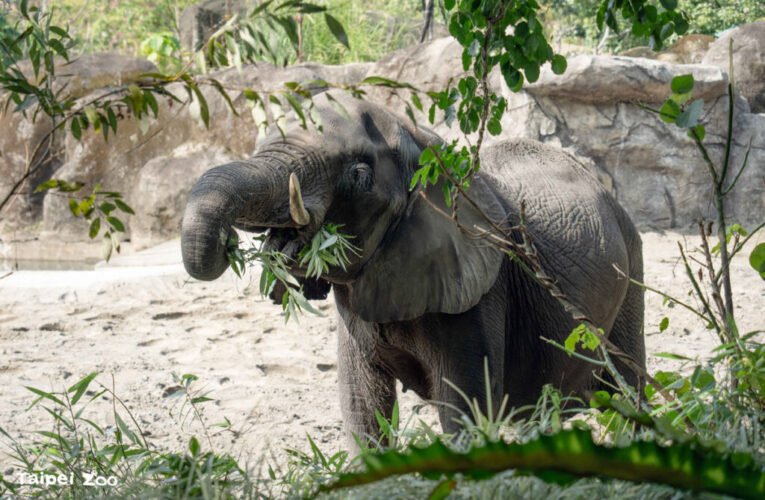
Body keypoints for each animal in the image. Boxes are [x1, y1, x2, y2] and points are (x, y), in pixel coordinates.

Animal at [180, 90, 645, 449]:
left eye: (358, 175)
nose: (229, 243)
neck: (422, 140)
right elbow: (361, 406)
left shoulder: (479, 290)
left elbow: (462, 411)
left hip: (632, 264)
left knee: (629, 387)